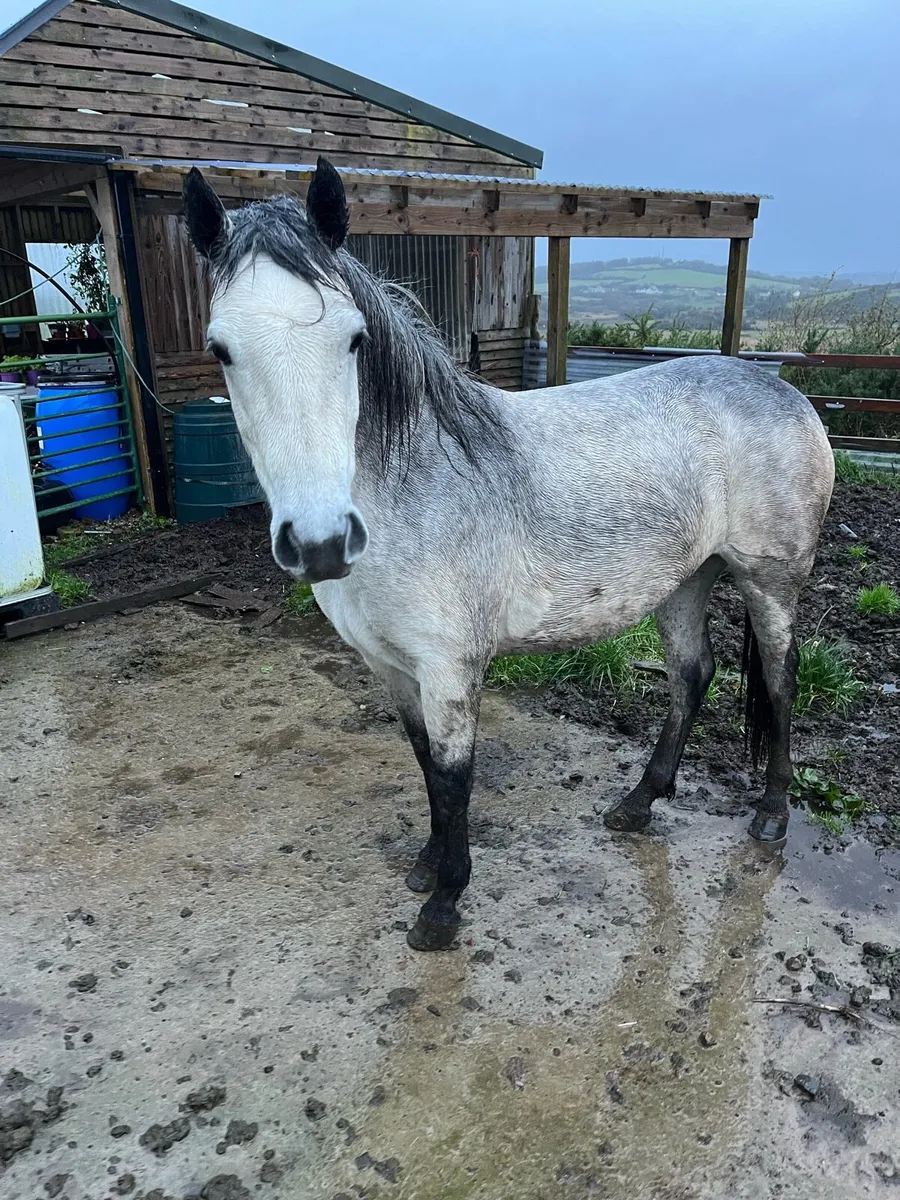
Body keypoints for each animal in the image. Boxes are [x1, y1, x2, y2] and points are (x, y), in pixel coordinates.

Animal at [183, 158, 835, 952]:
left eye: (354, 340)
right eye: (221, 348)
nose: (320, 542)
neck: (413, 485)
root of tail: (784, 390)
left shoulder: (450, 668)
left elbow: (455, 777)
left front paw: (443, 907)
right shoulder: (390, 667)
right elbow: (425, 764)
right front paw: (427, 866)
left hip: (771, 582)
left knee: (778, 679)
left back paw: (771, 815)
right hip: (686, 580)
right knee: (692, 675)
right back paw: (639, 803)